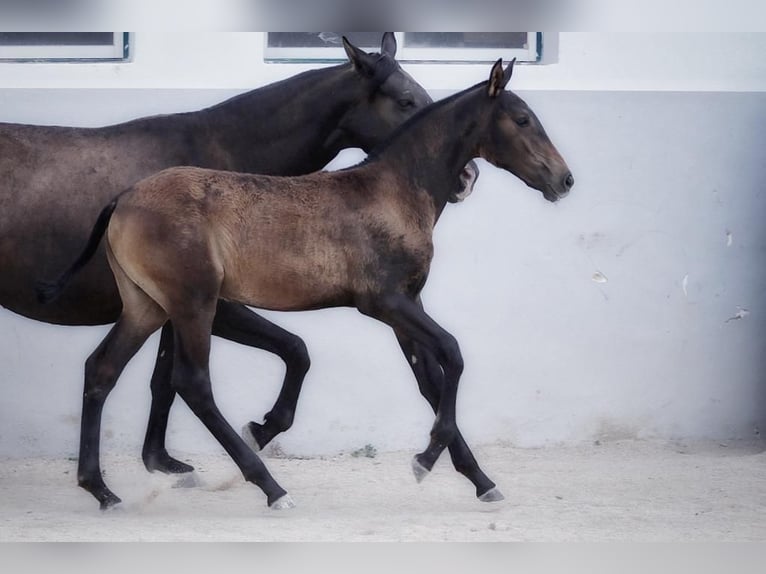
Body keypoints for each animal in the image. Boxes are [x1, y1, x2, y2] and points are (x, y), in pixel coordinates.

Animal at [1, 35, 480, 476]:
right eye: (405, 100)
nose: (466, 178)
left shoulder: (173, 310)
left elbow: (164, 383)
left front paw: (161, 460)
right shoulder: (212, 305)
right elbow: (292, 350)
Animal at [39, 57, 572, 508]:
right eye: (523, 119)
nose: (564, 180)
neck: (396, 189)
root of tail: (123, 198)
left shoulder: (408, 306)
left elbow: (432, 379)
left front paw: (480, 481)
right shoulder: (384, 302)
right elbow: (454, 354)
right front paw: (424, 460)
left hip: (146, 306)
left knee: (102, 369)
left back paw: (101, 489)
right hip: (194, 303)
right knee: (192, 383)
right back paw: (271, 486)